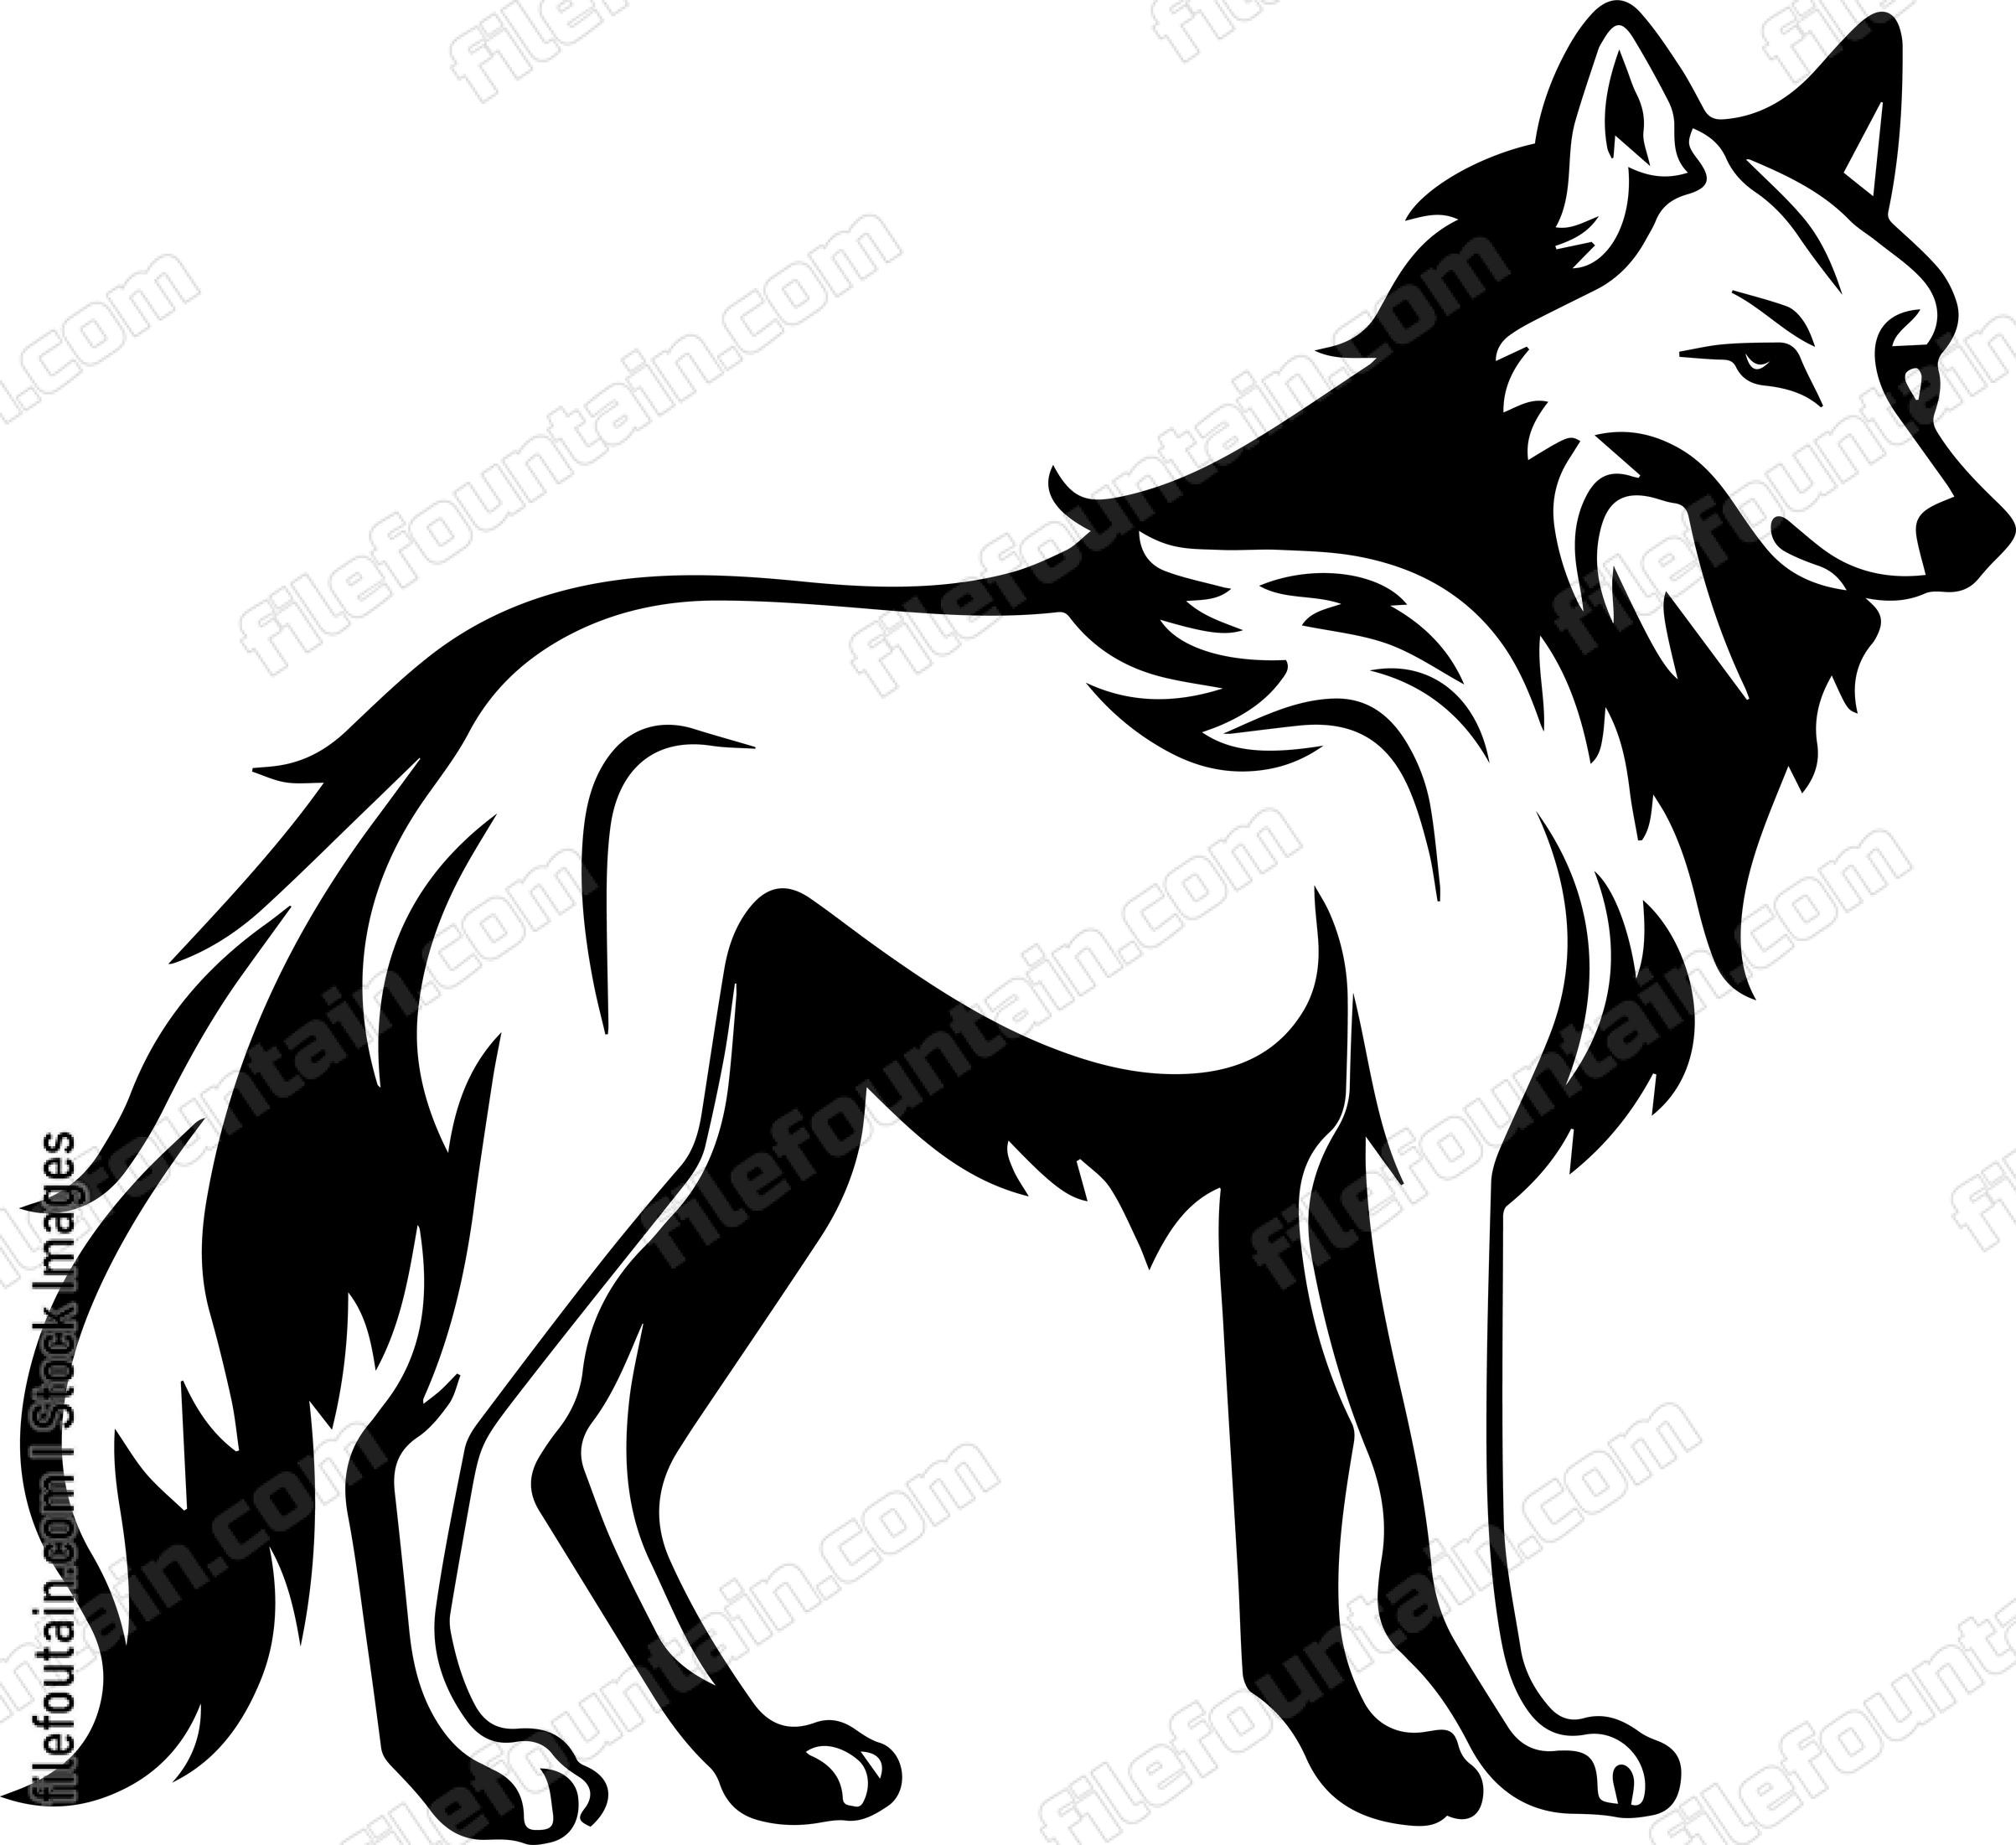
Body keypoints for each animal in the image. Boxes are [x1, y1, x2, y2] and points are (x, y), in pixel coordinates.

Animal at [15, 5, 2008, 1833]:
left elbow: (1293, 1536)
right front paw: (1533, 1747)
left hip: (756, 1180)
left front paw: (1369, 1771)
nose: (1973, 532)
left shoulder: (1284, 1188)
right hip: (604, 1179)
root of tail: (478, 703)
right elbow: (1452, 1515)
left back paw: (762, 1761)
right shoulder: (1411, 1170)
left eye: (1913, 353)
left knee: (585, 1461)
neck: (1514, 622)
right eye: (1759, 357)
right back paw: (480, 1773)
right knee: (407, 1443)